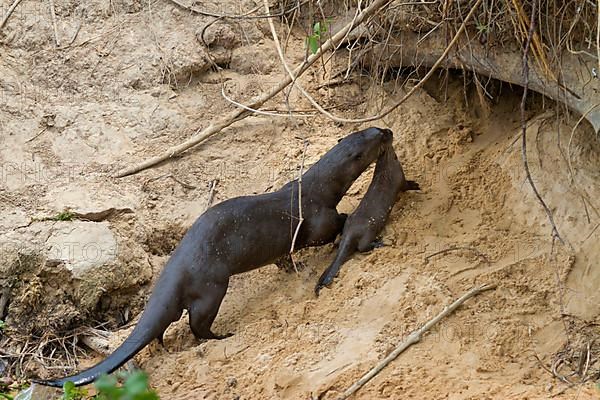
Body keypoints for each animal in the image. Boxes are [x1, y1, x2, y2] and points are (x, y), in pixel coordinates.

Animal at [36, 126, 394, 388]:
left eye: (370, 129)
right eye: (375, 142)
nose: (387, 130)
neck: (317, 186)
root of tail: (176, 266)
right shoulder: (317, 218)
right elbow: (329, 229)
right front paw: (345, 223)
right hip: (211, 286)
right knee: (198, 324)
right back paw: (223, 335)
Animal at [314, 139, 418, 296]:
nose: (390, 135)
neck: (387, 168)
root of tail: (349, 234)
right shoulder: (400, 178)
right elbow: (407, 186)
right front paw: (417, 185)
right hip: (368, 231)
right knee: (362, 247)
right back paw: (379, 242)